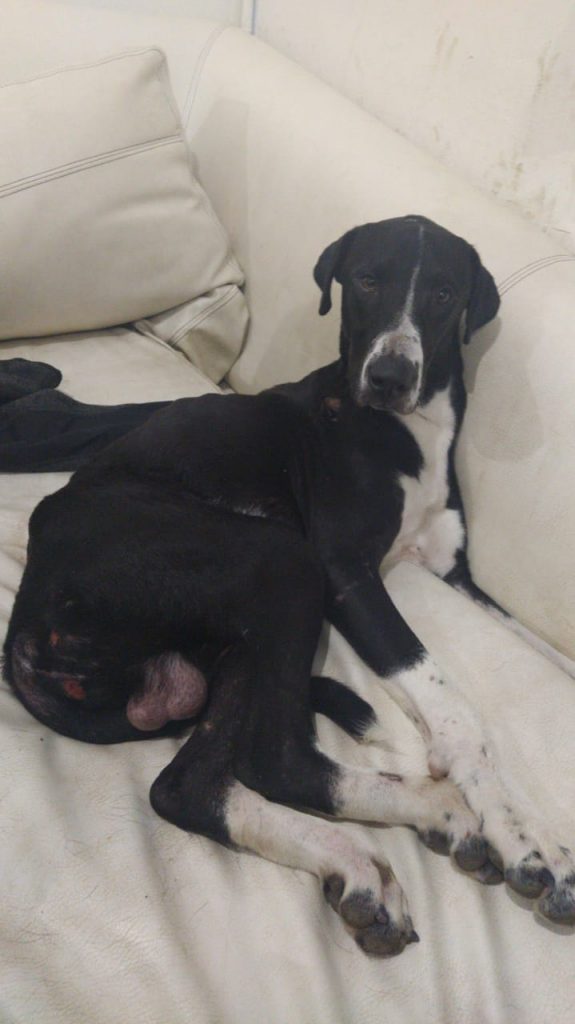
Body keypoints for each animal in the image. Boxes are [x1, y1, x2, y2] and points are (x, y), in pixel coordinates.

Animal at [4, 215, 575, 957]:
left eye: (444, 293)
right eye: (366, 280)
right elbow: (448, 700)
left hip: (232, 642)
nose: (389, 376)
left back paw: (354, 856)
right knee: (273, 759)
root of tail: (24, 619)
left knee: (188, 786)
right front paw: (519, 828)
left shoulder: (454, 576)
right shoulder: (344, 571)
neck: (407, 431)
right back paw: (426, 811)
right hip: (281, 559)